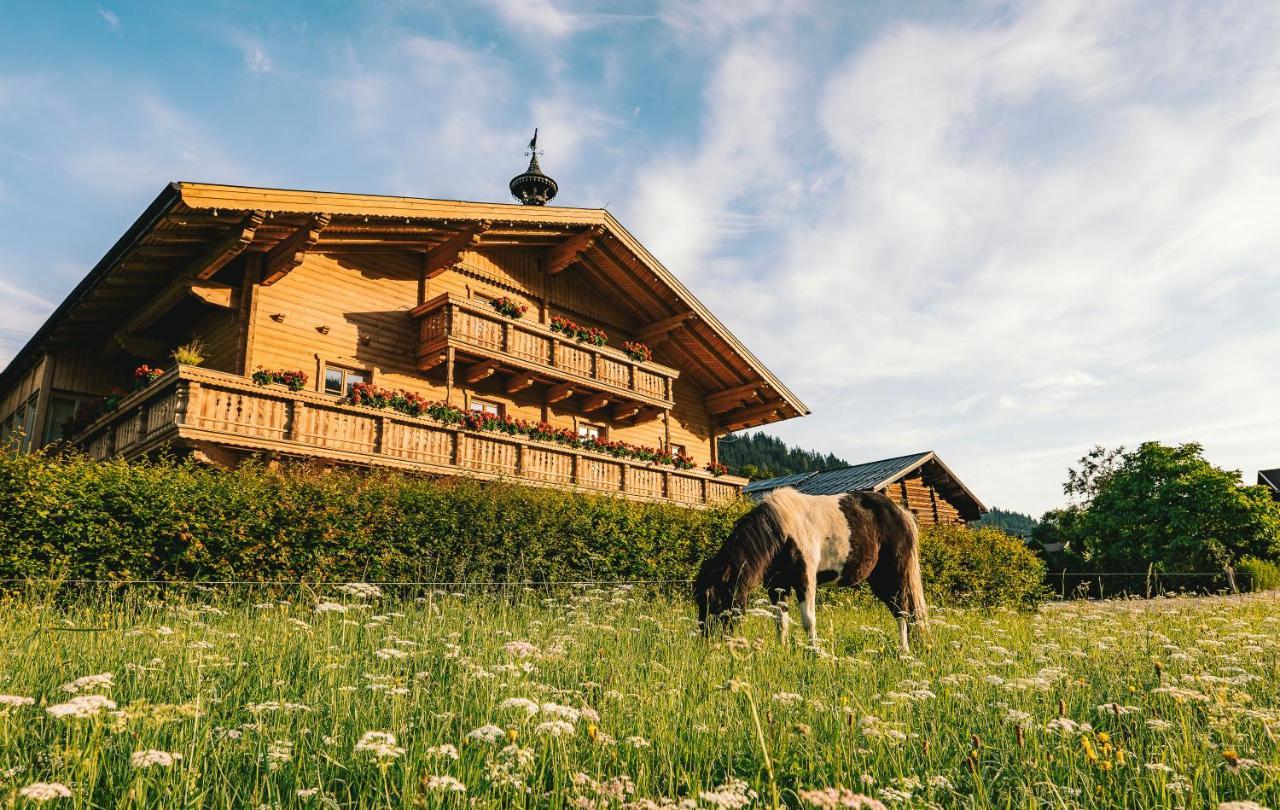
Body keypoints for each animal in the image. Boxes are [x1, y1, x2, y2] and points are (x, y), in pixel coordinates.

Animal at [696, 486, 926, 650]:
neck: (783, 530)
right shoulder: (777, 585)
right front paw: (783, 649)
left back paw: (903, 650)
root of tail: (902, 513)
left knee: (902, 609)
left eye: (716, 600)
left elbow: (808, 620)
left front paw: (813, 652)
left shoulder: (805, 580)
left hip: (892, 575)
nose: (707, 641)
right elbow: (780, 619)